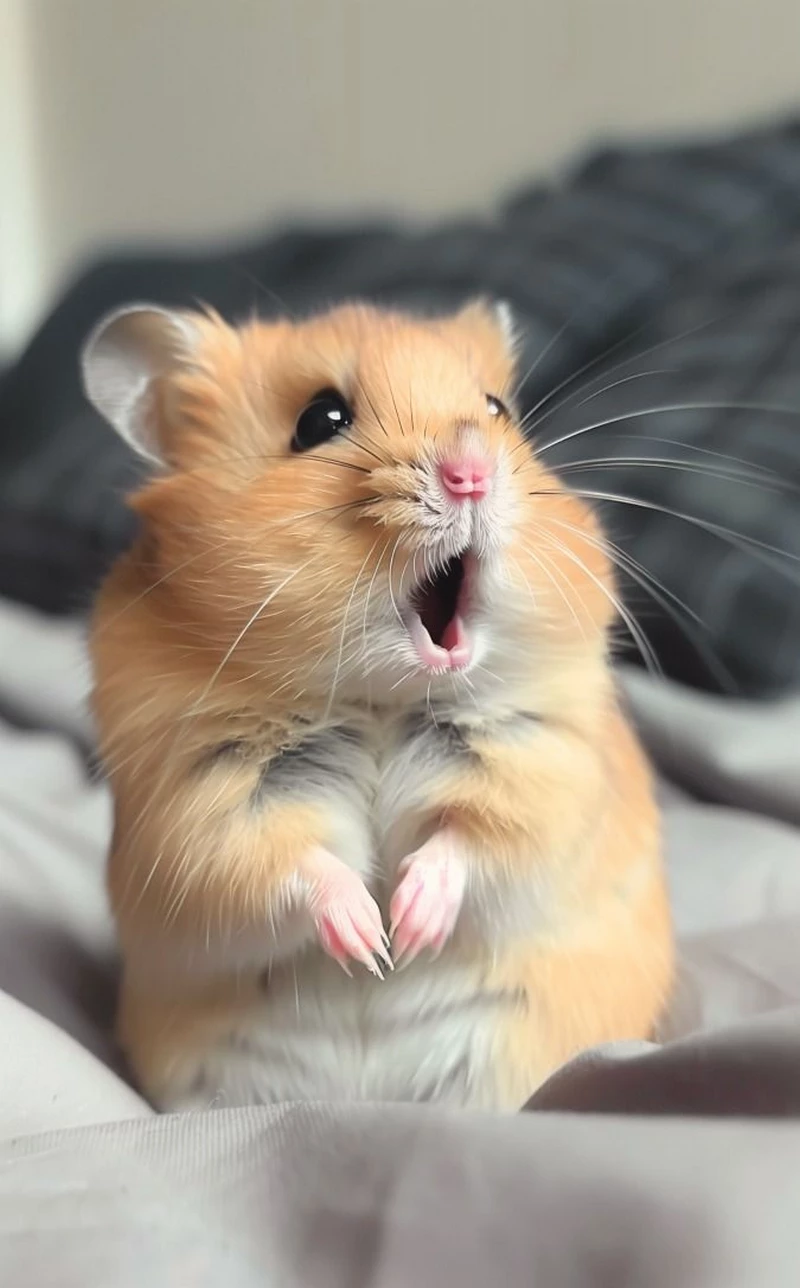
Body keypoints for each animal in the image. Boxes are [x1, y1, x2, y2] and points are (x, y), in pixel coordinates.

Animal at [82, 298, 673, 1111]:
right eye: (319, 420)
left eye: (497, 409)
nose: (470, 475)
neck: (381, 700)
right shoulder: (198, 809)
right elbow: (287, 865)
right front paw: (369, 941)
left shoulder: (542, 766)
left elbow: (474, 841)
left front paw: (410, 929)